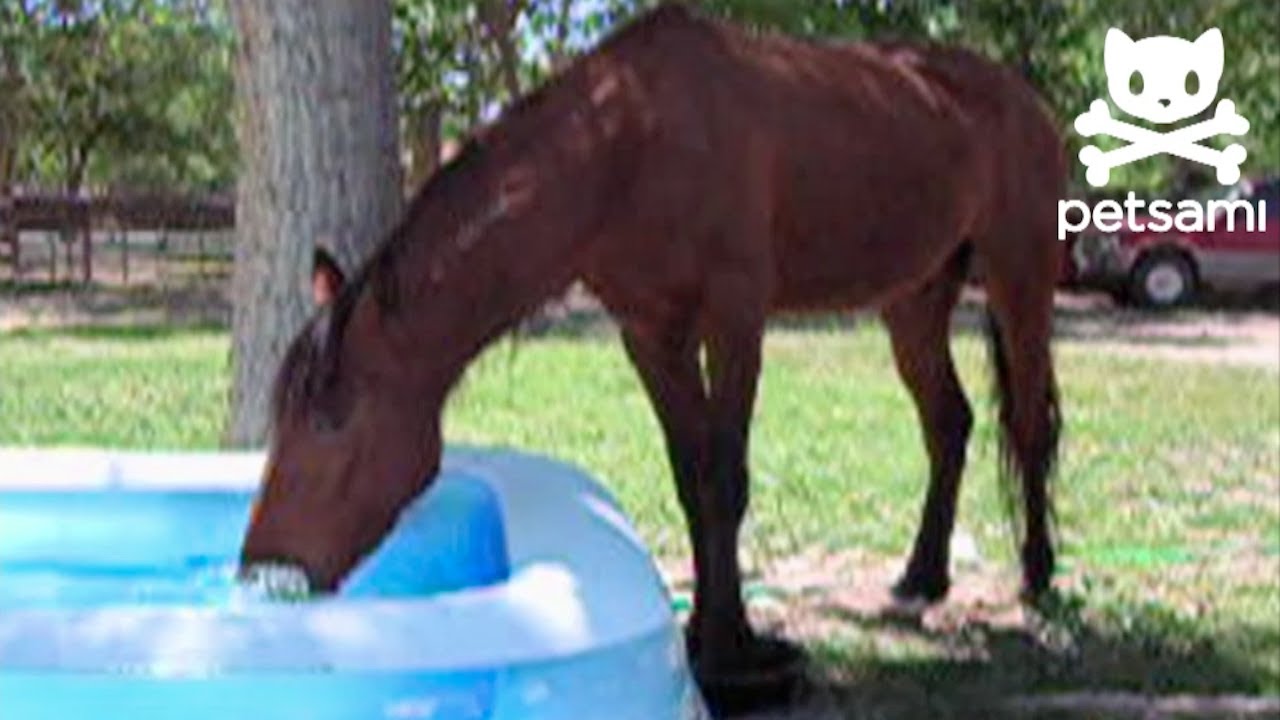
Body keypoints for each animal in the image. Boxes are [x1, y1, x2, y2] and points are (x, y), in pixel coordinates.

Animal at [240, 1, 1059, 702]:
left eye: (334, 420)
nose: (262, 566)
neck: (627, 145)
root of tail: (1022, 96)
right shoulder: (650, 334)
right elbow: (691, 478)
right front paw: (704, 634)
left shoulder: (734, 319)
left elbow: (725, 478)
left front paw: (734, 651)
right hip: (914, 299)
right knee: (949, 424)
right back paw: (923, 576)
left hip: (1019, 277)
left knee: (1028, 424)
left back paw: (1037, 572)